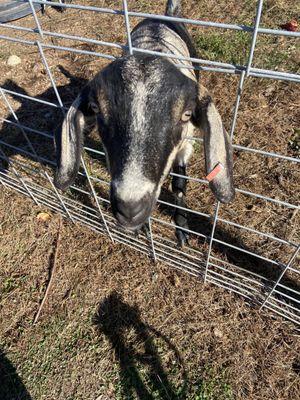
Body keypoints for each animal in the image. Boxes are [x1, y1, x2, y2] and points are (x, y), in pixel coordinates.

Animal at [55, 0, 236, 247]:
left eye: (186, 114)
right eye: (95, 108)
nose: (130, 209)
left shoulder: (186, 143)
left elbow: (179, 184)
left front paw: (182, 230)